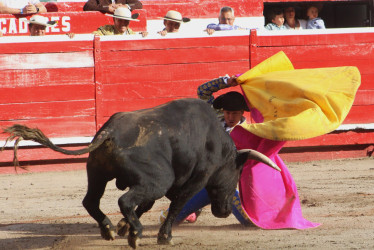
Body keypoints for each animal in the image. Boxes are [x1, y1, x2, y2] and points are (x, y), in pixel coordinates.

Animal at [1, 98, 280, 248]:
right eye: (236, 174)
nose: (224, 211)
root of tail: (109, 131)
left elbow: (146, 205)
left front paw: (123, 226)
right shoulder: (193, 180)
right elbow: (176, 205)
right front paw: (164, 237)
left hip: (98, 173)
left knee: (92, 201)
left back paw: (110, 229)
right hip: (158, 179)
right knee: (124, 200)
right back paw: (136, 234)